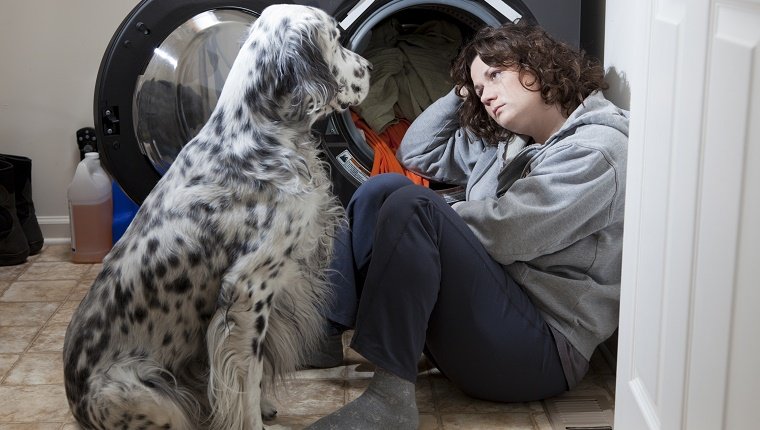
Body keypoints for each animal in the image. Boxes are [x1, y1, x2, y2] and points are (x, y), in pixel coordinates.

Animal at [63, 5, 372, 428]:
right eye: (338, 39)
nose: (371, 67)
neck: (258, 133)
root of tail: (75, 403)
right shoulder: (249, 290)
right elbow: (247, 378)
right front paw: (255, 419)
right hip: (147, 398)